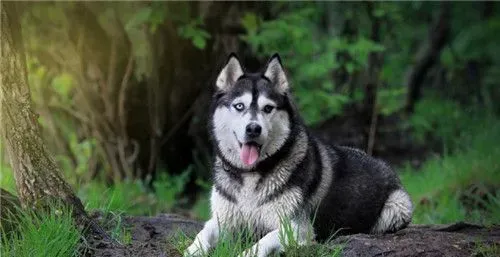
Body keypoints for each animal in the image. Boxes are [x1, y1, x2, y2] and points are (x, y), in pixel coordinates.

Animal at [186, 53, 412, 256]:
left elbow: (263, 241)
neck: (250, 174)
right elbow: (202, 234)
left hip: (398, 206)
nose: (253, 129)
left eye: (268, 108)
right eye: (239, 106)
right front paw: (192, 250)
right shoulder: (223, 220)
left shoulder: (296, 227)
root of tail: (382, 162)